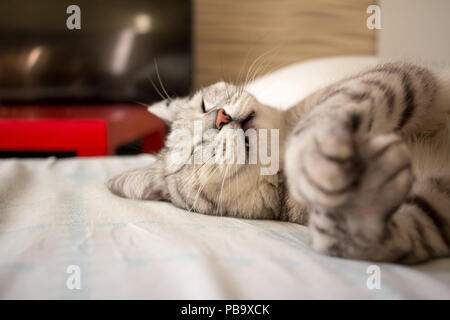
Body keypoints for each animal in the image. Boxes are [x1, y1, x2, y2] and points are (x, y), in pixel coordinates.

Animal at [107, 61, 450, 264]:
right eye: (192, 152)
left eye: (205, 104)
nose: (220, 118)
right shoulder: (431, 211)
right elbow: (351, 232)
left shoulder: (400, 76)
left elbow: (328, 111)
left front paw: (312, 154)